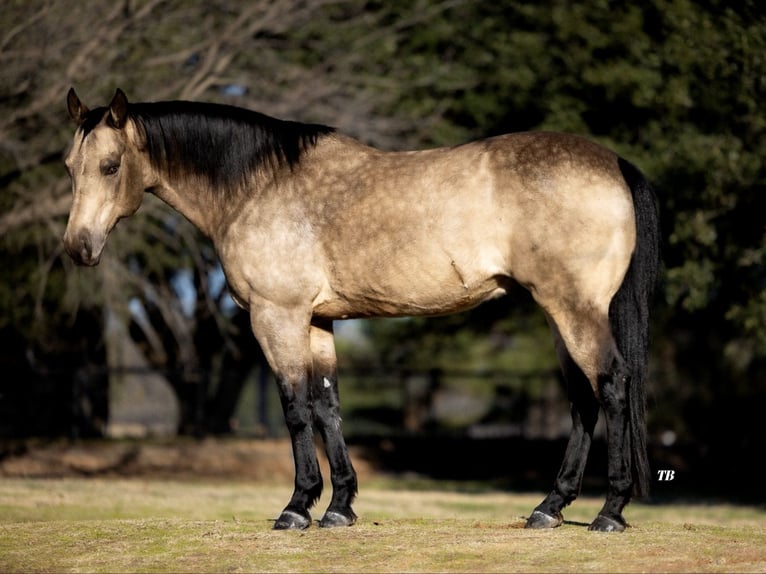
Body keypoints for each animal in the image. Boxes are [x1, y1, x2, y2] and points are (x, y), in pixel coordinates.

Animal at [63, 88, 664, 532]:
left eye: (111, 166)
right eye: (70, 166)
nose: (78, 249)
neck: (259, 186)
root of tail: (614, 163)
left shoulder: (276, 316)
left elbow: (295, 407)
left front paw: (297, 508)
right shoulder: (318, 320)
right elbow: (328, 406)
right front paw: (339, 507)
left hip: (575, 310)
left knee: (612, 386)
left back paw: (609, 512)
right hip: (559, 315)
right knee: (582, 400)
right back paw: (550, 508)